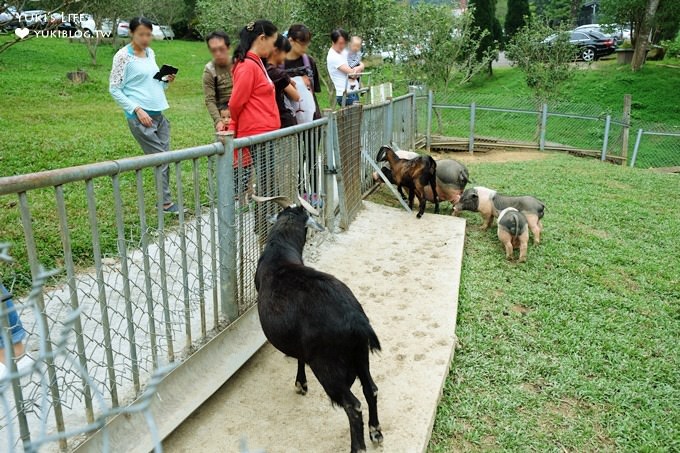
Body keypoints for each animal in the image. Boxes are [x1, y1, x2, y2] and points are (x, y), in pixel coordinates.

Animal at [254, 194, 382, 452]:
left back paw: (358, 446)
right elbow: (299, 355)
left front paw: (299, 384)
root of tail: (356, 319)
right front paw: (301, 383)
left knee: (353, 406)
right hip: (360, 354)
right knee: (371, 389)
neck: (279, 253)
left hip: (327, 366)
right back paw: (376, 431)